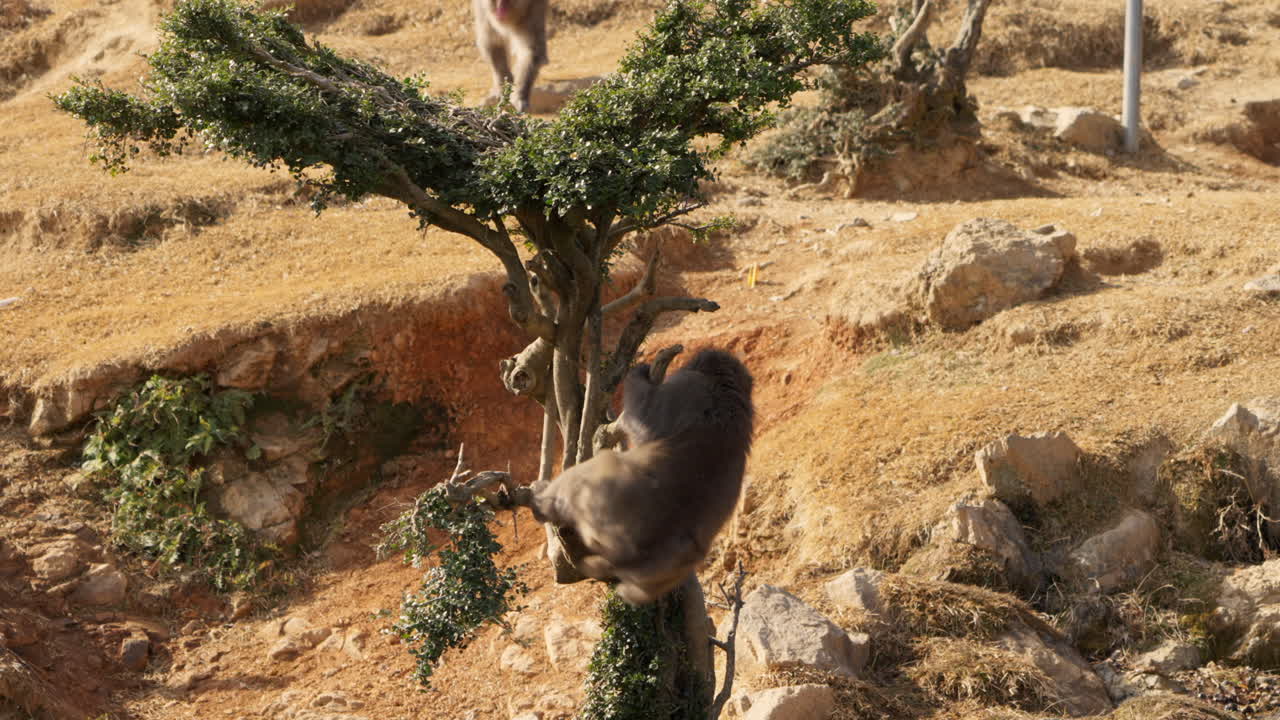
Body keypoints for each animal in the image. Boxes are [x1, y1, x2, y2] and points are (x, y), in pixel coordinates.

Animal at [531, 349, 754, 605]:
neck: (728, 393)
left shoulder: (685, 385)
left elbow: (643, 415)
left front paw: (640, 373)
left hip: (606, 509)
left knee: (595, 471)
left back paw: (542, 501)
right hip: (661, 572)